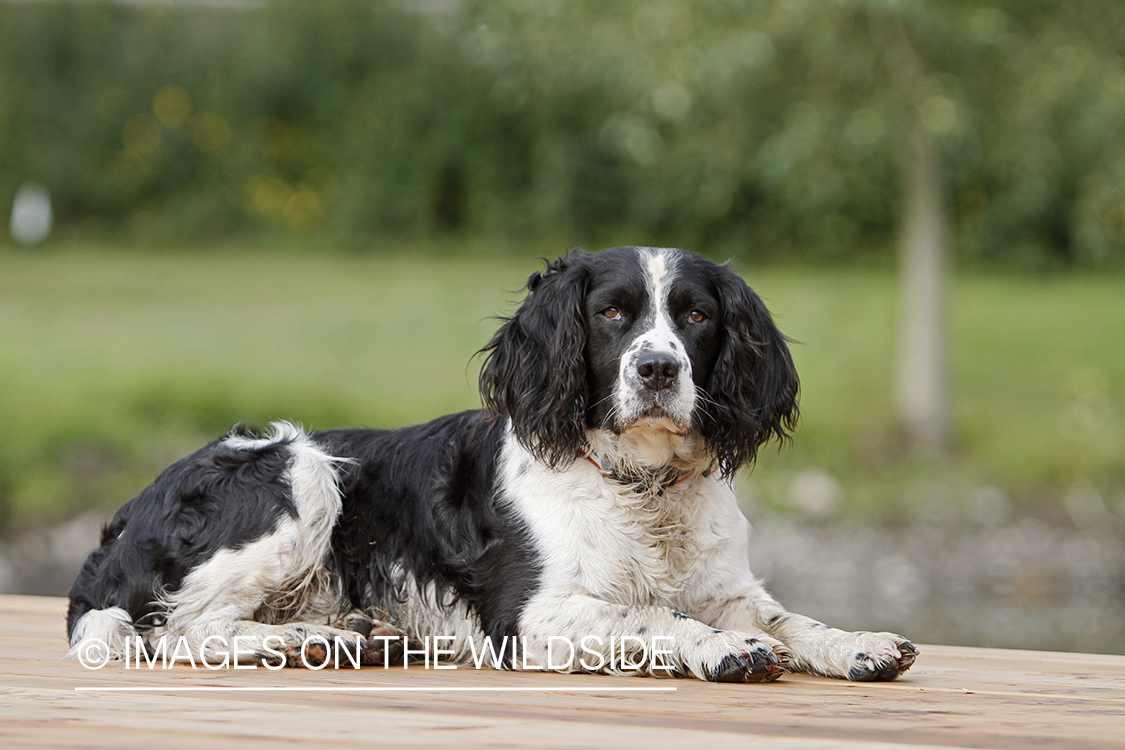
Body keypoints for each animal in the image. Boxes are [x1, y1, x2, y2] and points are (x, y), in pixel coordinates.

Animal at [68, 249, 913, 683]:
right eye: (611, 312)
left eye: (698, 315)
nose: (657, 370)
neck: (639, 484)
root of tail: (121, 526)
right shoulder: (529, 618)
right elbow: (651, 615)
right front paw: (718, 649)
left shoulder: (726, 587)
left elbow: (787, 617)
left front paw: (858, 643)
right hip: (298, 470)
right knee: (180, 629)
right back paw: (306, 641)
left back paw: (350, 634)